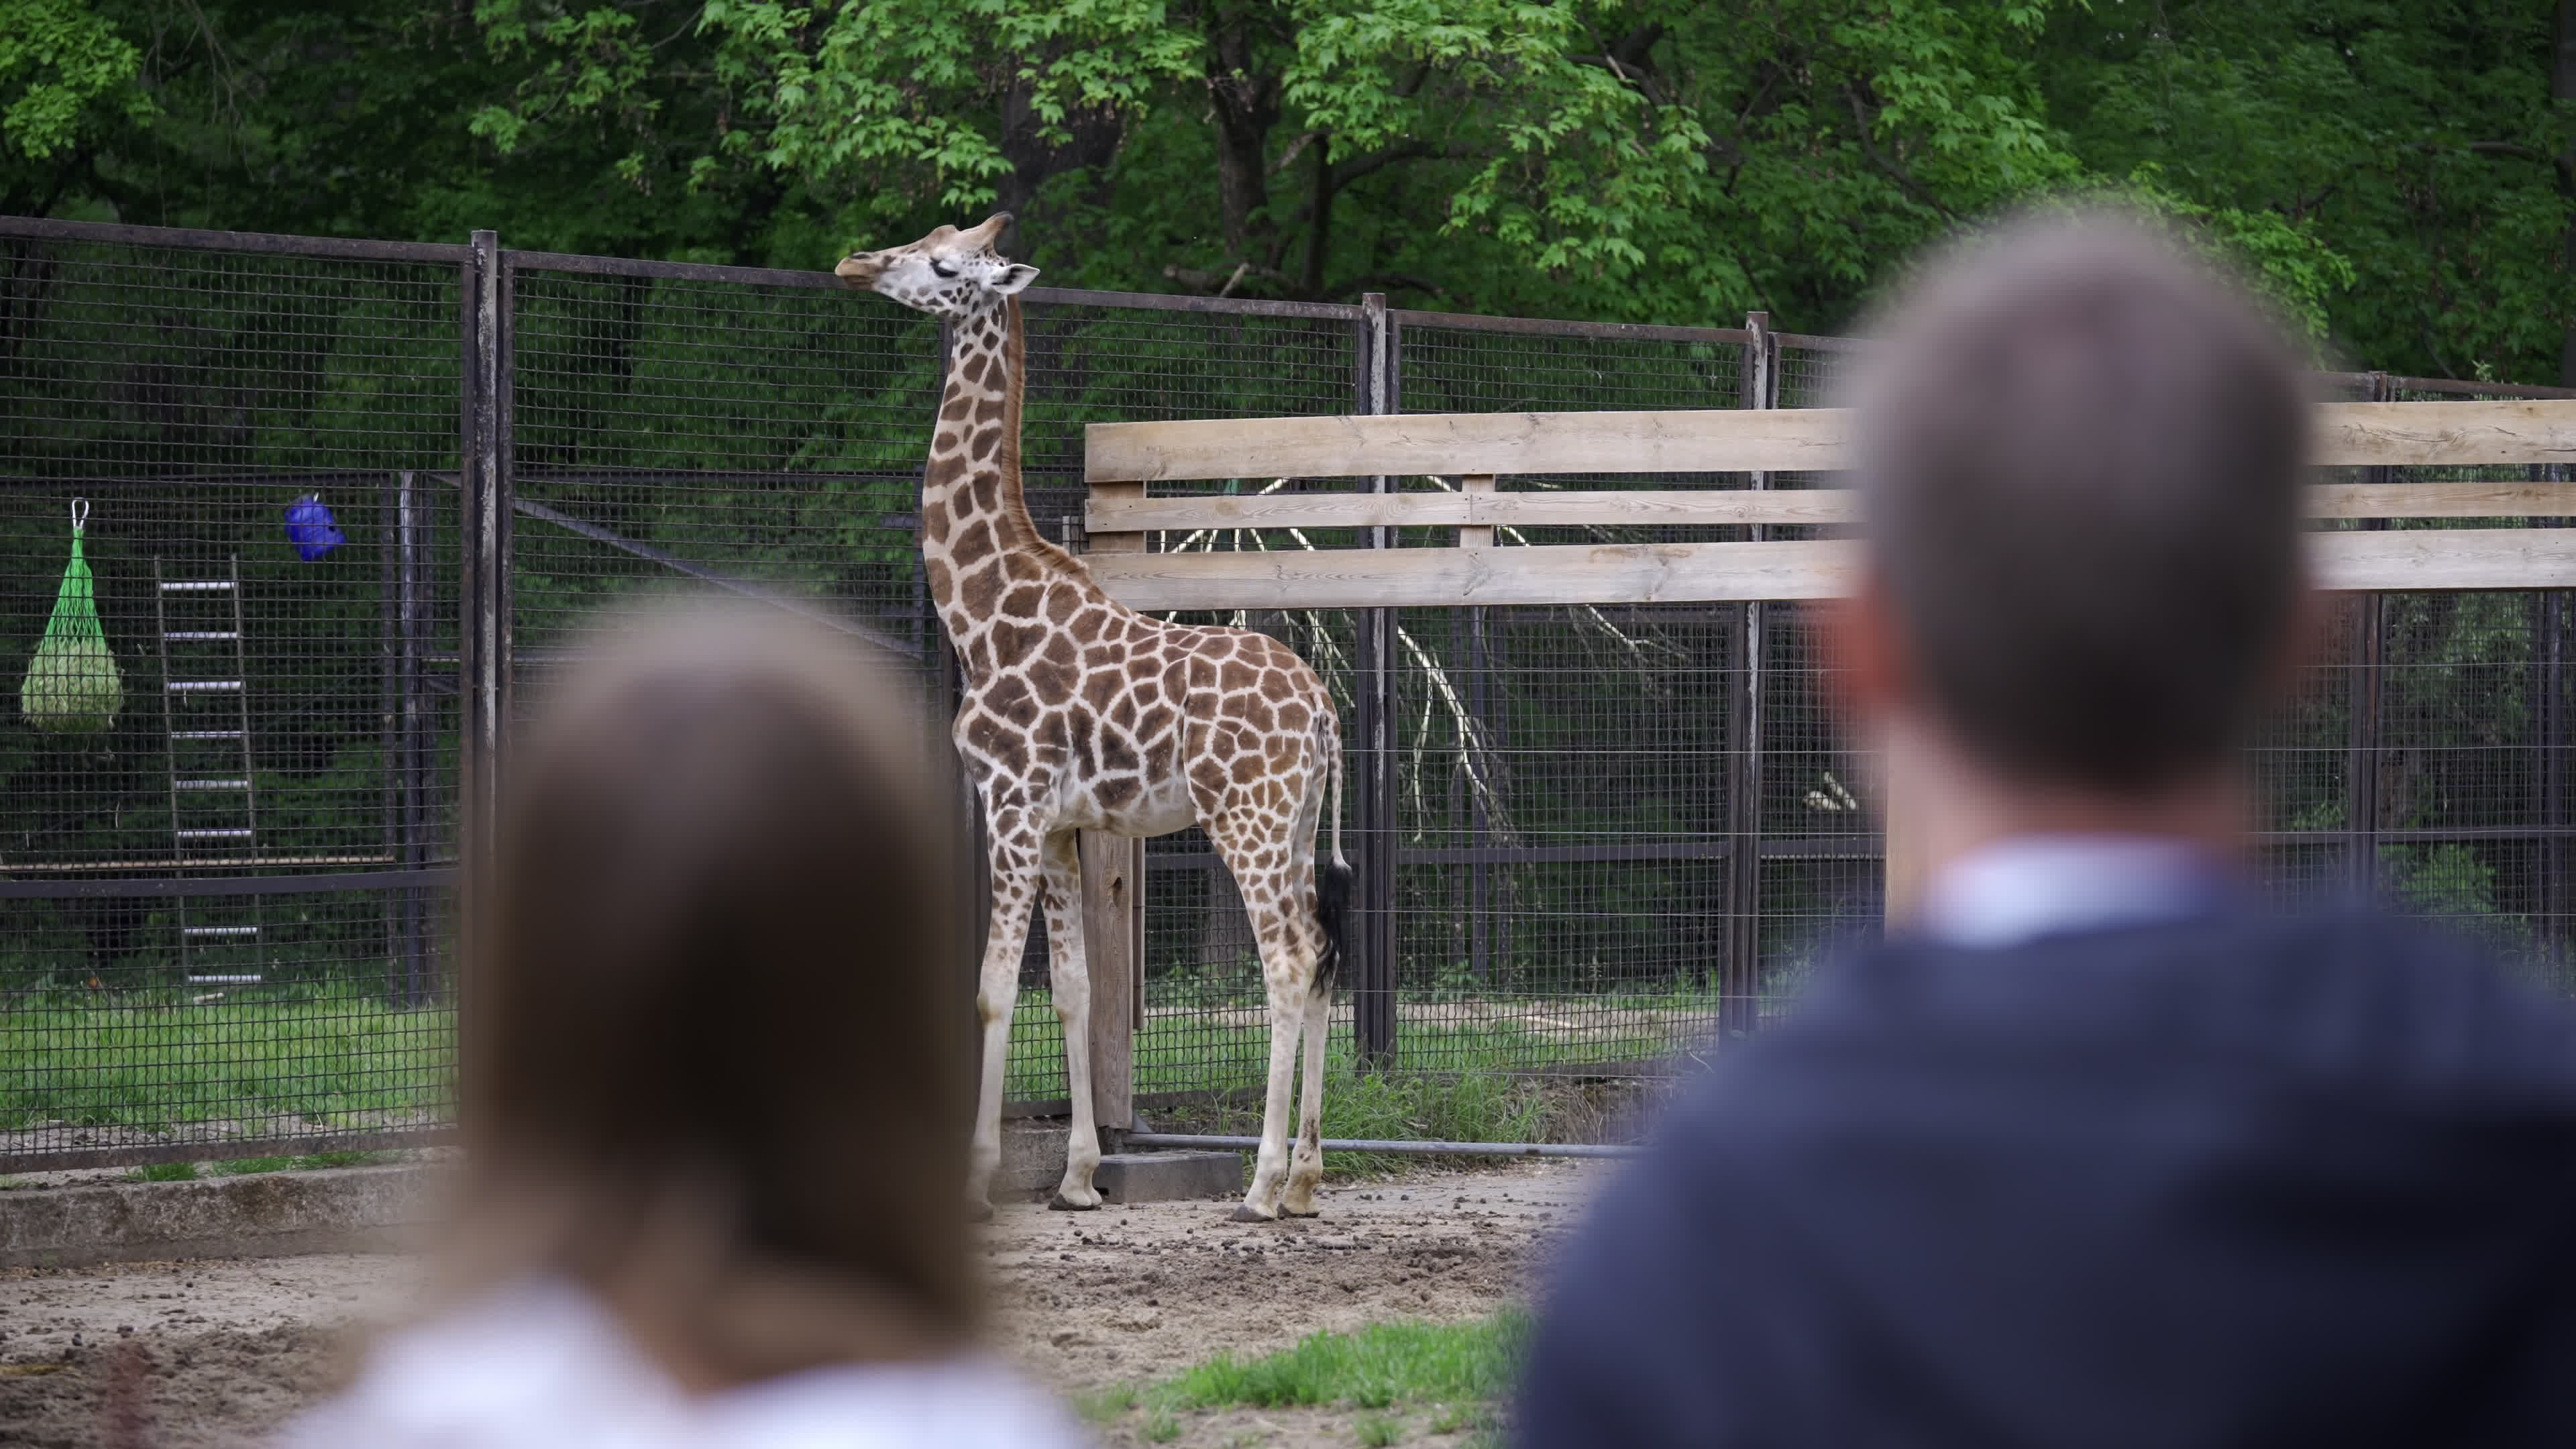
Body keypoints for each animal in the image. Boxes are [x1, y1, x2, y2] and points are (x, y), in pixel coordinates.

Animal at [837, 214, 1354, 1222]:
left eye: (944, 262)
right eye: (925, 238)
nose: (855, 263)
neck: (982, 613)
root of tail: (1322, 713)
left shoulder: (1008, 802)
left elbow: (993, 990)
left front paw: (975, 1180)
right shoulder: (1063, 824)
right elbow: (1074, 990)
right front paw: (1078, 1176)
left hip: (1247, 818)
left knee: (1285, 960)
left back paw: (1261, 1185)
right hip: (1300, 820)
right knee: (1318, 955)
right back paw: (1308, 1181)